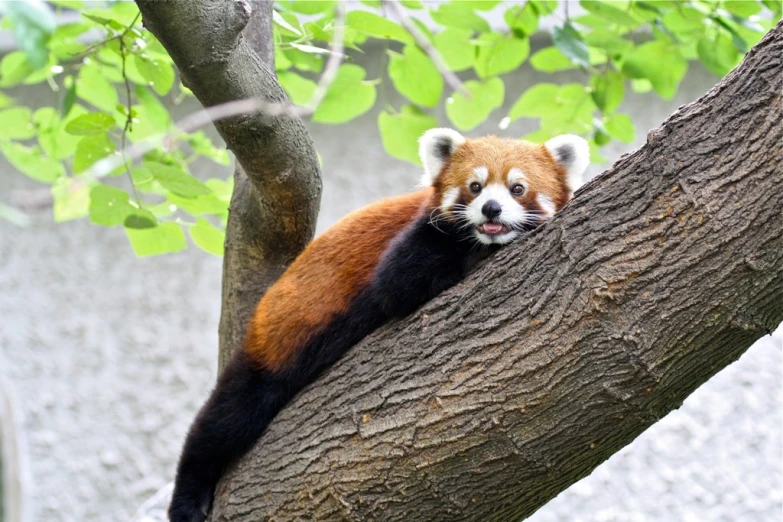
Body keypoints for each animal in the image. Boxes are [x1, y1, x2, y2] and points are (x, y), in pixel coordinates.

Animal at [170, 127, 588, 520]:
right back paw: (188, 495)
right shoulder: (417, 238)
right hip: (275, 345)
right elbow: (397, 285)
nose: (491, 209)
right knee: (226, 418)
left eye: (518, 188)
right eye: (475, 186)